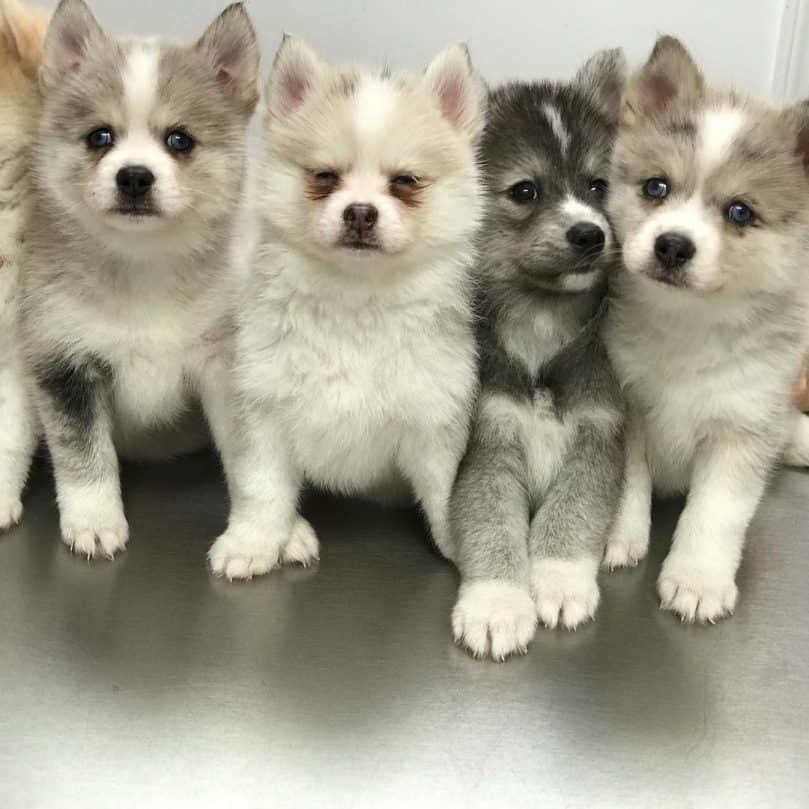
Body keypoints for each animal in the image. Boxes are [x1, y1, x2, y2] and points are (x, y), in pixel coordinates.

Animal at [19, 0, 258, 556]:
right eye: (99, 137)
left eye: (180, 140)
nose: (133, 176)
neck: (142, 268)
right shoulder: (64, 366)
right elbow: (84, 458)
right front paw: (93, 522)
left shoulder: (223, 363)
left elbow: (248, 457)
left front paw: (269, 533)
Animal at [210, 38, 486, 576]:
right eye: (324, 177)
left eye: (405, 182)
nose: (360, 211)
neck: (356, 299)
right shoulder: (264, 412)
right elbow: (262, 489)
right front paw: (254, 542)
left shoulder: (434, 425)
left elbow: (446, 495)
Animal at [452, 50, 628, 660]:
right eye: (525, 192)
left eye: (598, 186)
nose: (590, 235)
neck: (543, 323)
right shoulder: (488, 438)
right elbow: (492, 524)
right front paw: (497, 603)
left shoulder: (598, 431)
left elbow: (572, 514)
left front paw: (558, 579)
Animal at [604, 34, 808, 620]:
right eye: (656, 187)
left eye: (740, 212)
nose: (672, 245)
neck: (688, 327)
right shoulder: (625, 403)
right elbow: (627, 483)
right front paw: (617, 537)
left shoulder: (741, 428)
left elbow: (715, 513)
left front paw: (697, 579)